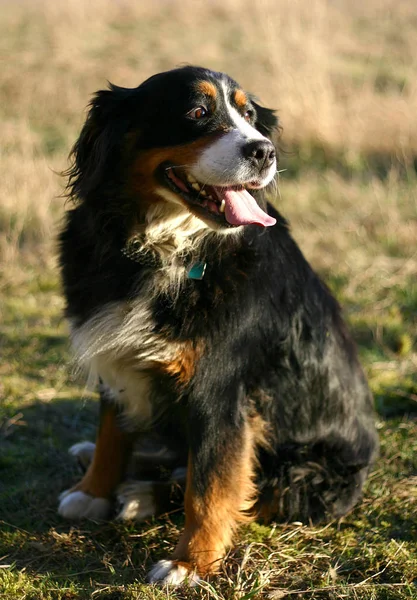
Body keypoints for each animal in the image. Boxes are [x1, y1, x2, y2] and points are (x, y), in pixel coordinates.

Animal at [56, 65, 376, 584]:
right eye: (196, 112)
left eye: (251, 117)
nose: (264, 151)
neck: (163, 250)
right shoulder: (117, 358)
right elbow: (112, 434)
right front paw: (92, 490)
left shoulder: (219, 390)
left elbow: (209, 485)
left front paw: (190, 563)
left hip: (308, 476)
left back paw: (142, 494)